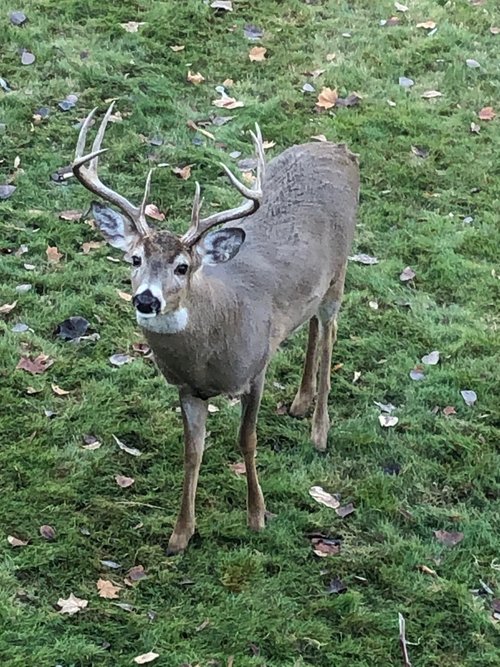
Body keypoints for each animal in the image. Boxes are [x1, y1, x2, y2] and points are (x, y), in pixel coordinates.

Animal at [71, 104, 360, 552]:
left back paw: (319, 431)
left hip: (340, 272)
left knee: (330, 332)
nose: (146, 300)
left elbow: (247, 439)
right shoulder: (187, 388)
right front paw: (180, 534)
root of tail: (340, 149)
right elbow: (193, 451)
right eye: (135, 259)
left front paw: (257, 516)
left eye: (182, 266)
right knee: (311, 322)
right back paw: (300, 401)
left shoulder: (256, 368)